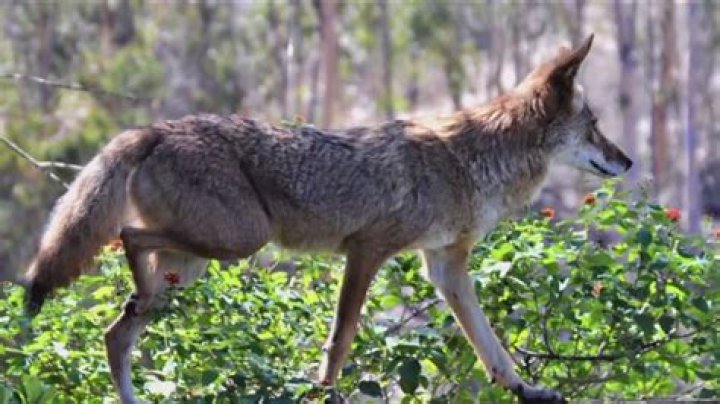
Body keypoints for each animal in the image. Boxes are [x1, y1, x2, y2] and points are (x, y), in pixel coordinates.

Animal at [22, 34, 631, 403]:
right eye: (596, 124)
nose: (628, 161)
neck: (473, 161)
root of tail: (152, 129)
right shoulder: (366, 250)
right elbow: (340, 341)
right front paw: (323, 391)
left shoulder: (446, 267)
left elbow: (491, 347)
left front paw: (529, 390)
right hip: (237, 243)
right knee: (128, 238)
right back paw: (137, 292)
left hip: (197, 263)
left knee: (115, 333)